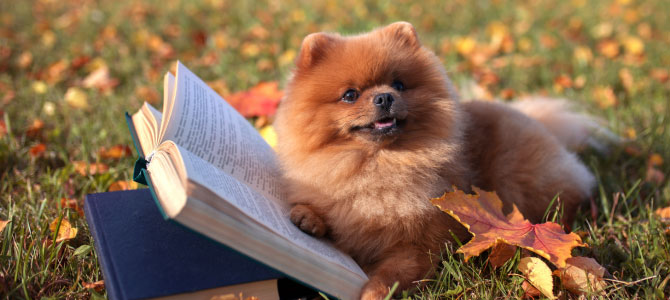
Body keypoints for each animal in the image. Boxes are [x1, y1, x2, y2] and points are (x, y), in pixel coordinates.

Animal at [272, 22, 600, 298]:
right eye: (350, 95)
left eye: (399, 85)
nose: (384, 97)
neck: (377, 165)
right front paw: (308, 217)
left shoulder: (418, 245)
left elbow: (392, 273)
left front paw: (373, 292)